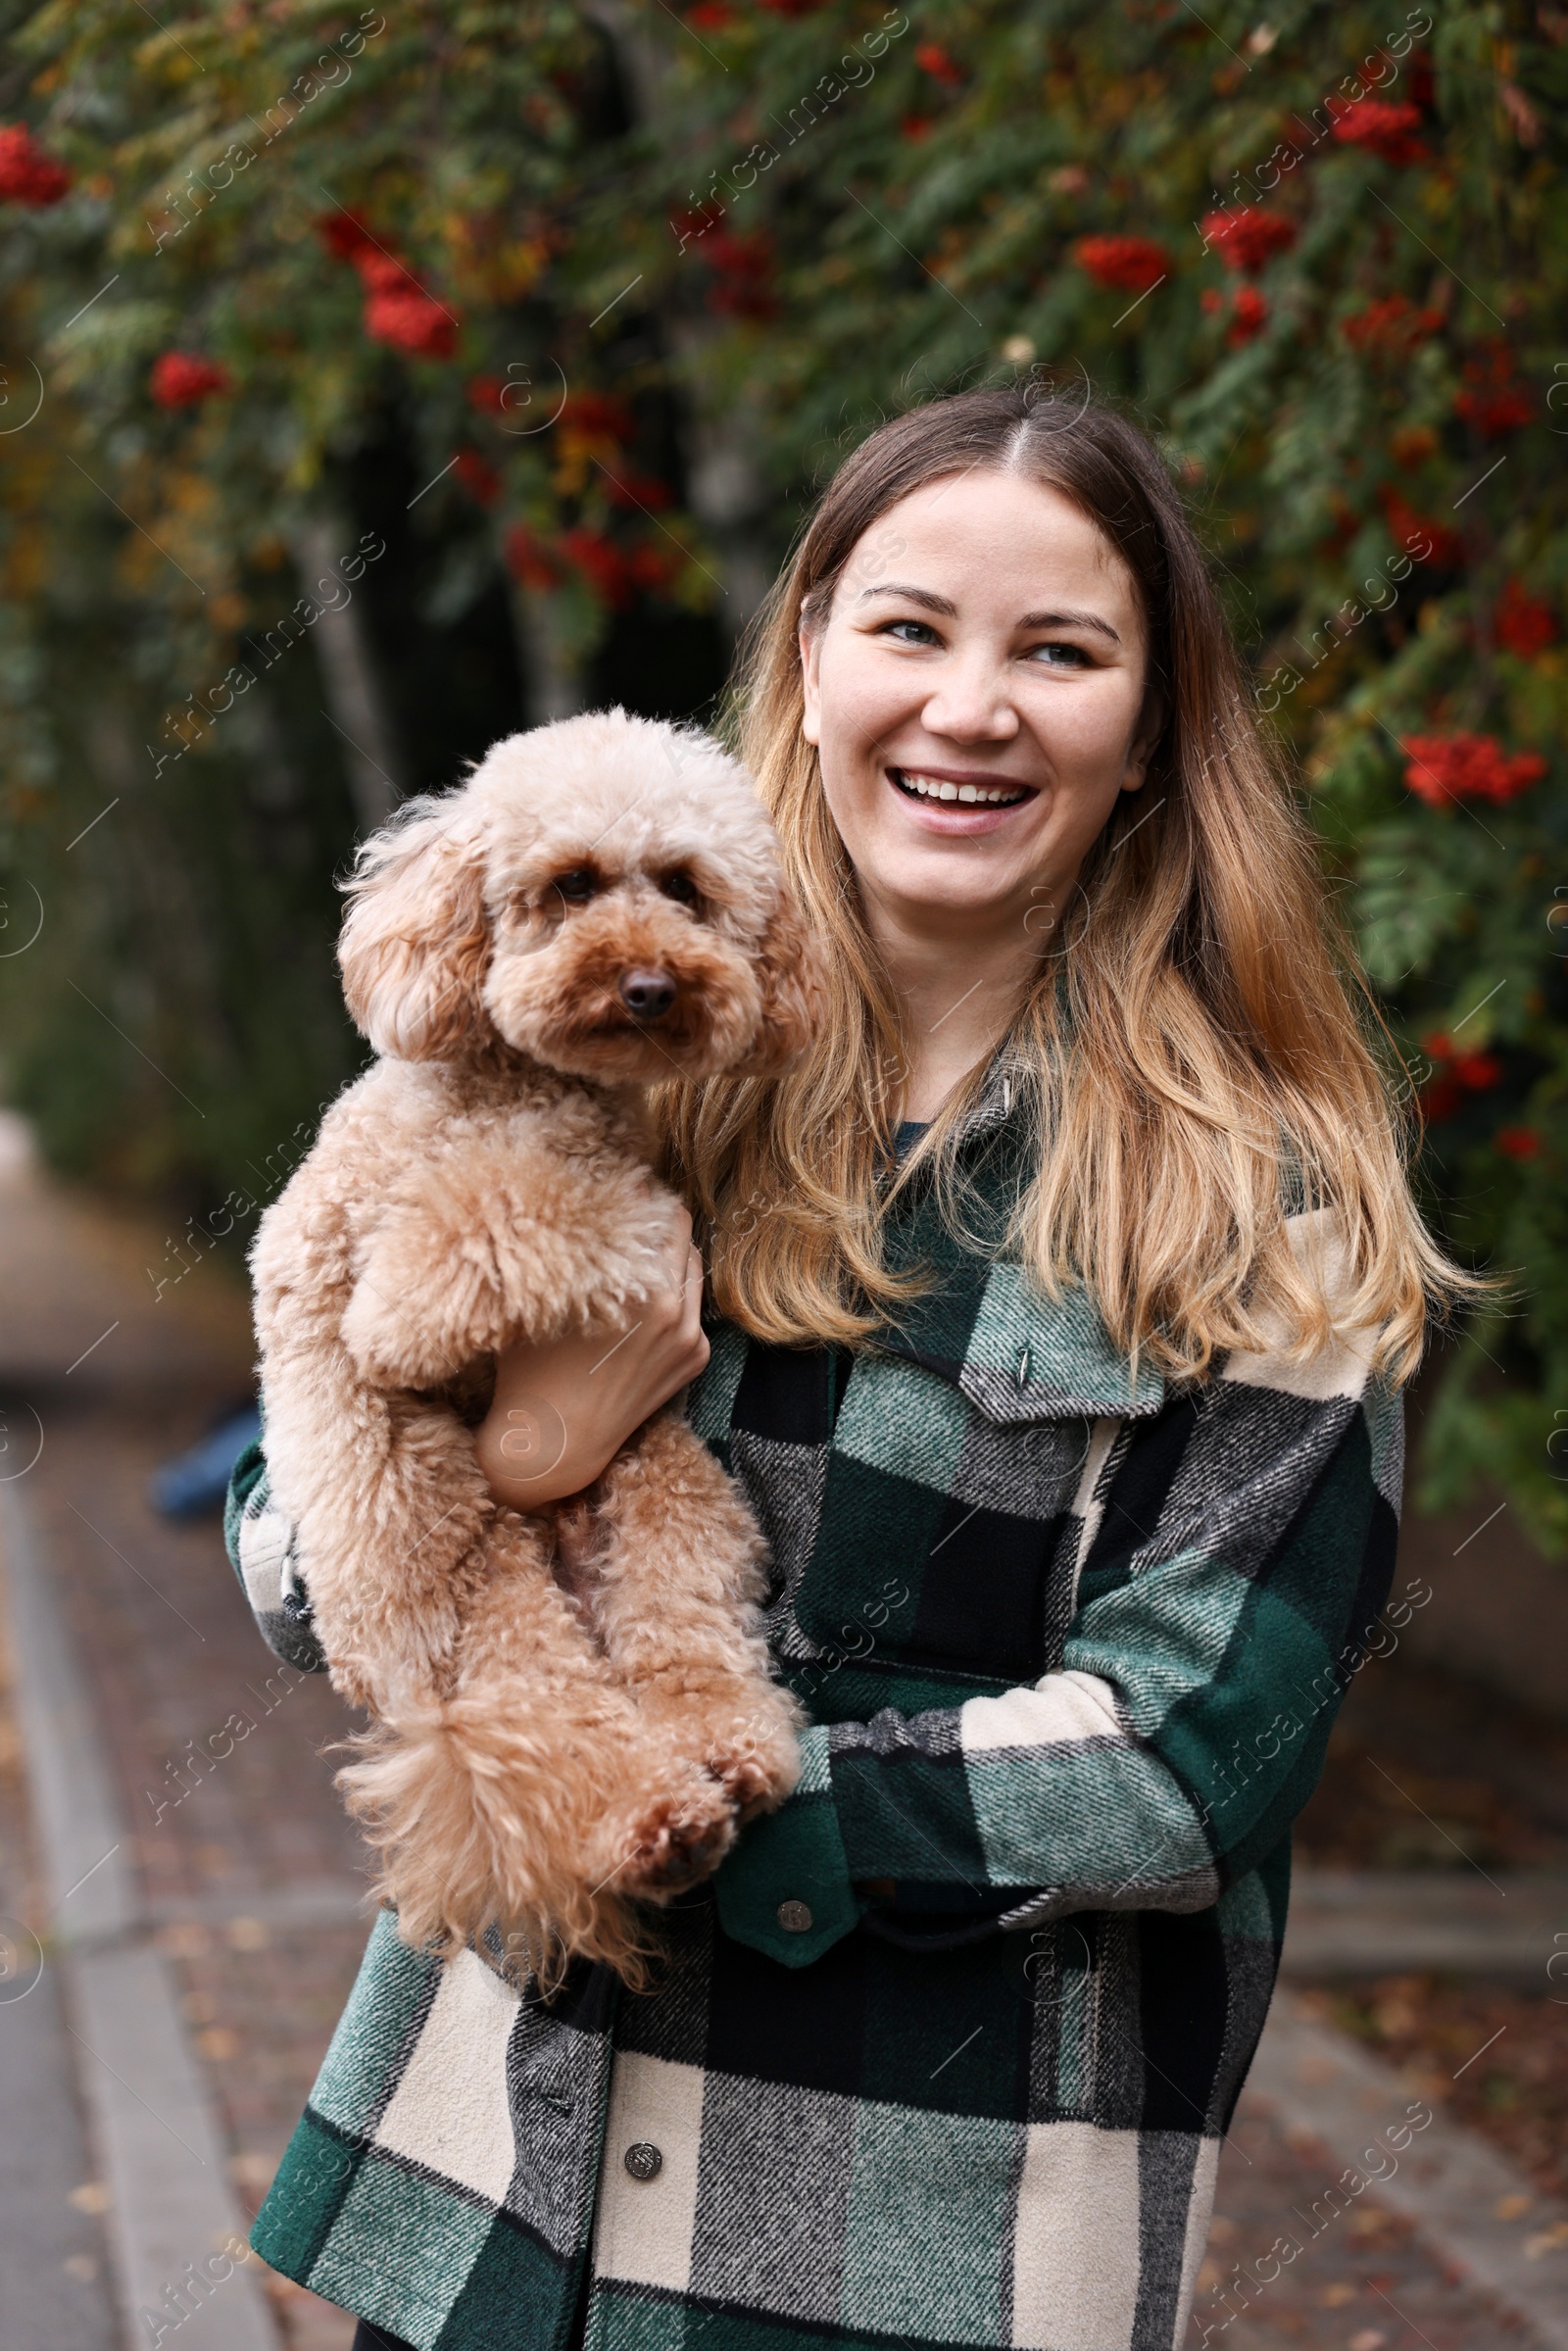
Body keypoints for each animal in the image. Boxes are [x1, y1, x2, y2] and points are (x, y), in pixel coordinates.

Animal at [251, 710, 817, 1984]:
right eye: (569, 884)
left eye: (685, 887)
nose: (653, 984)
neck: (517, 1085)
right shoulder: (317, 1240)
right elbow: (390, 1344)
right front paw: (392, 1327)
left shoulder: (611, 1202)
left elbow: (506, 1206)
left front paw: (406, 1301)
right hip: (494, 1593)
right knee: (545, 1721)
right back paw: (651, 1812)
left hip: (668, 1490)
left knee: (686, 1644)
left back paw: (724, 1761)